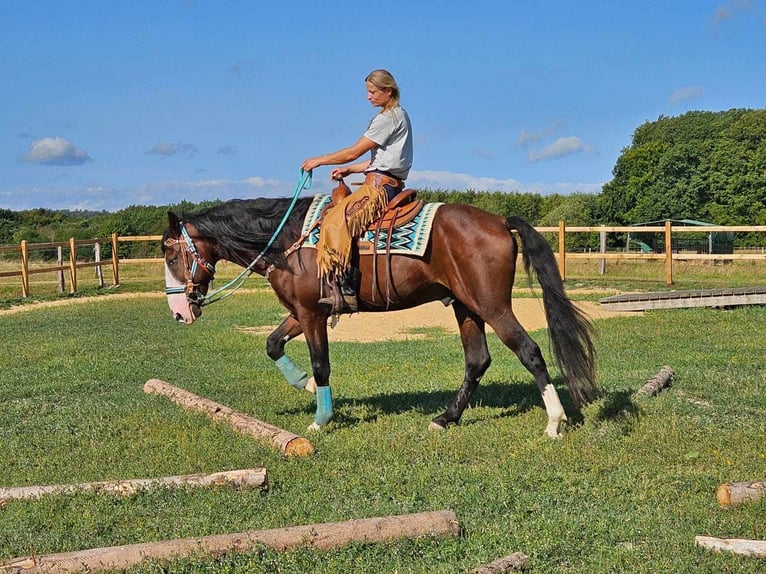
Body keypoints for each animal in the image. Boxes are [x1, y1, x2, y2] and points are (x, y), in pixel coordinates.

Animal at [162, 192, 604, 436]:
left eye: (169, 254)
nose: (179, 313)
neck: (288, 240)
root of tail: (497, 219)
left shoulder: (311, 314)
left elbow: (321, 363)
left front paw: (321, 417)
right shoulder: (302, 312)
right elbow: (272, 344)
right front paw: (303, 385)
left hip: (492, 306)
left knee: (529, 350)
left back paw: (554, 421)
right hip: (466, 306)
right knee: (477, 360)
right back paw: (446, 418)